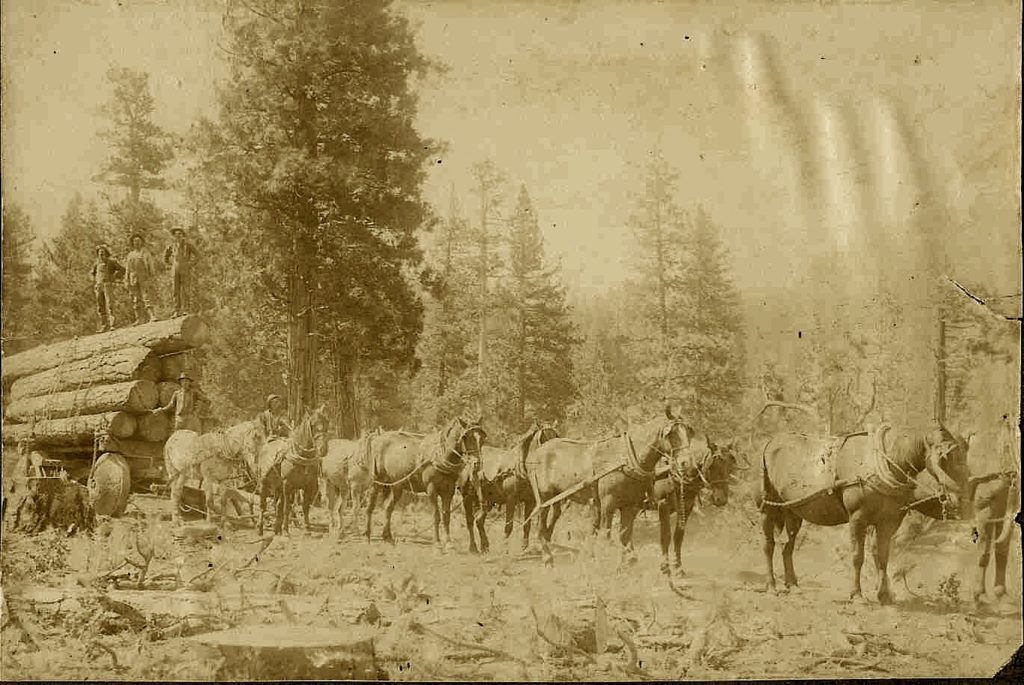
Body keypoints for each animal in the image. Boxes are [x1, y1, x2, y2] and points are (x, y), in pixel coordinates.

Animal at [364, 417, 487, 548]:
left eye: (483, 438)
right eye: (465, 436)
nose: (476, 463)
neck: (440, 456)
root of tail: (377, 437)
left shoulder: (449, 490)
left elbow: (446, 515)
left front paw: (448, 543)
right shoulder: (431, 489)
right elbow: (436, 515)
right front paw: (437, 542)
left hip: (397, 485)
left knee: (388, 507)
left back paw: (388, 537)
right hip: (377, 482)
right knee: (370, 506)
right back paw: (367, 535)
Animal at [651, 436, 741, 573]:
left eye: (730, 465)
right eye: (712, 466)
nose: (721, 499)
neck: (679, 473)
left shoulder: (686, 507)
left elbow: (679, 536)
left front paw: (678, 567)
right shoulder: (663, 505)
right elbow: (665, 536)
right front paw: (665, 566)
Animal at [761, 421, 966, 602]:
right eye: (946, 458)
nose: (960, 499)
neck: (880, 463)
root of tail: (770, 442)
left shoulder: (888, 522)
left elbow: (882, 557)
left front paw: (884, 595)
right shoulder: (857, 519)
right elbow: (857, 557)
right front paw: (857, 594)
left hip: (792, 511)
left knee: (787, 548)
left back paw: (793, 586)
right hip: (767, 508)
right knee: (769, 546)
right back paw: (771, 586)